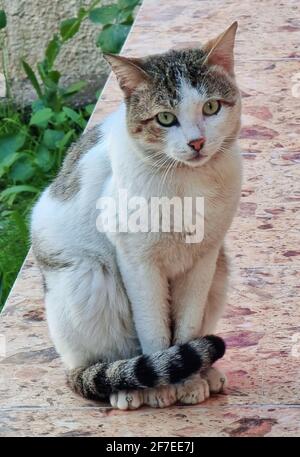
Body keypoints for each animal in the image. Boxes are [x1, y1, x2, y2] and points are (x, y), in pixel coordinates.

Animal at [31, 21, 241, 408]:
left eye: (211, 107)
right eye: (165, 118)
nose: (197, 143)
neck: (190, 184)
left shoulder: (204, 258)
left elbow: (187, 327)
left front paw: (189, 380)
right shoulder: (138, 262)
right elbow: (154, 330)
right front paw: (162, 386)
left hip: (220, 267)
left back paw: (206, 371)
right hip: (88, 276)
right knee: (101, 362)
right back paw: (126, 386)